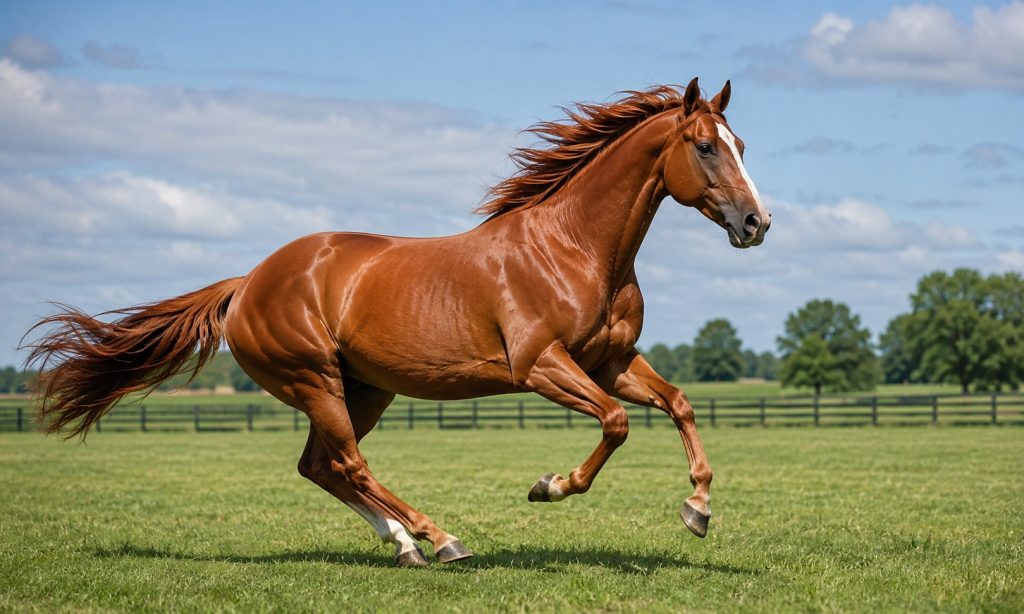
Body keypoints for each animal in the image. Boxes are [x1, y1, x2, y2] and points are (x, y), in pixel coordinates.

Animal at [25, 77, 770, 567]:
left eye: (741, 143)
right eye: (705, 146)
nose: (756, 223)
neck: (573, 248)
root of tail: (248, 283)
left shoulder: (609, 363)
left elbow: (679, 405)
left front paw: (698, 511)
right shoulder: (541, 366)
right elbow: (615, 425)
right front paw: (549, 487)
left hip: (366, 389)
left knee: (321, 467)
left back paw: (407, 545)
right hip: (316, 381)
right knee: (348, 464)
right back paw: (442, 540)